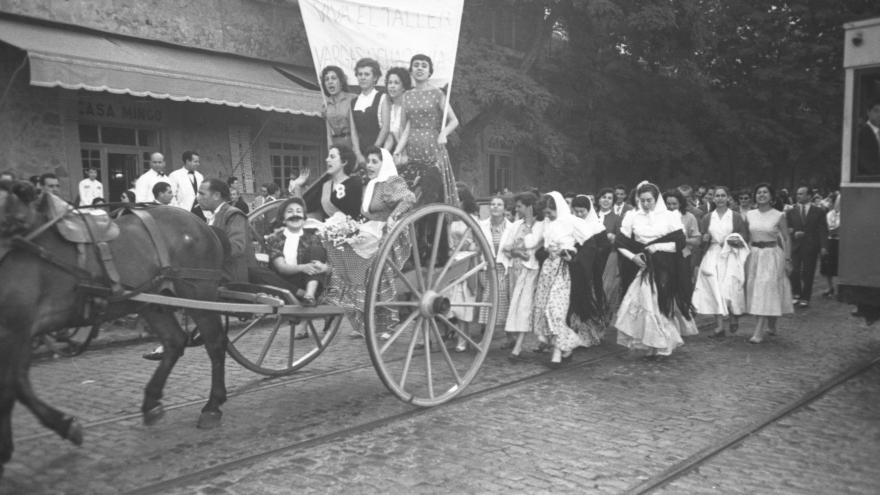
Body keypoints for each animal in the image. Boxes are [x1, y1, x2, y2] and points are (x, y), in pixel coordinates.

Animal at [0, 180, 230, 478]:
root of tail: (202, 223)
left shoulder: (15, 326)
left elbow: (9, 387)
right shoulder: (22, 329)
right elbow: (18, 383)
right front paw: (62, 426)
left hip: (198, 292)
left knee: (214, 343)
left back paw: (212, 406)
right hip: (152, 301)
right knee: (175, 341)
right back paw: (151, 402)